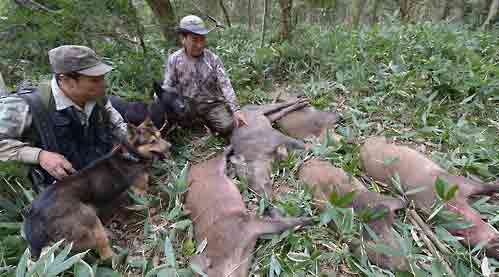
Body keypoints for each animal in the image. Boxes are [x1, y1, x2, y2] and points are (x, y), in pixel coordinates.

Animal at [23, 118, 171, 260]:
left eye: (160, 135)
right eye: (152, 141)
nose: (170, 146)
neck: (130, 154)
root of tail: (35, 213)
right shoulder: (140, 190)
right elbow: (148, 201)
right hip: (90, 219)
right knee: (101, 250)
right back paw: (116, 258)